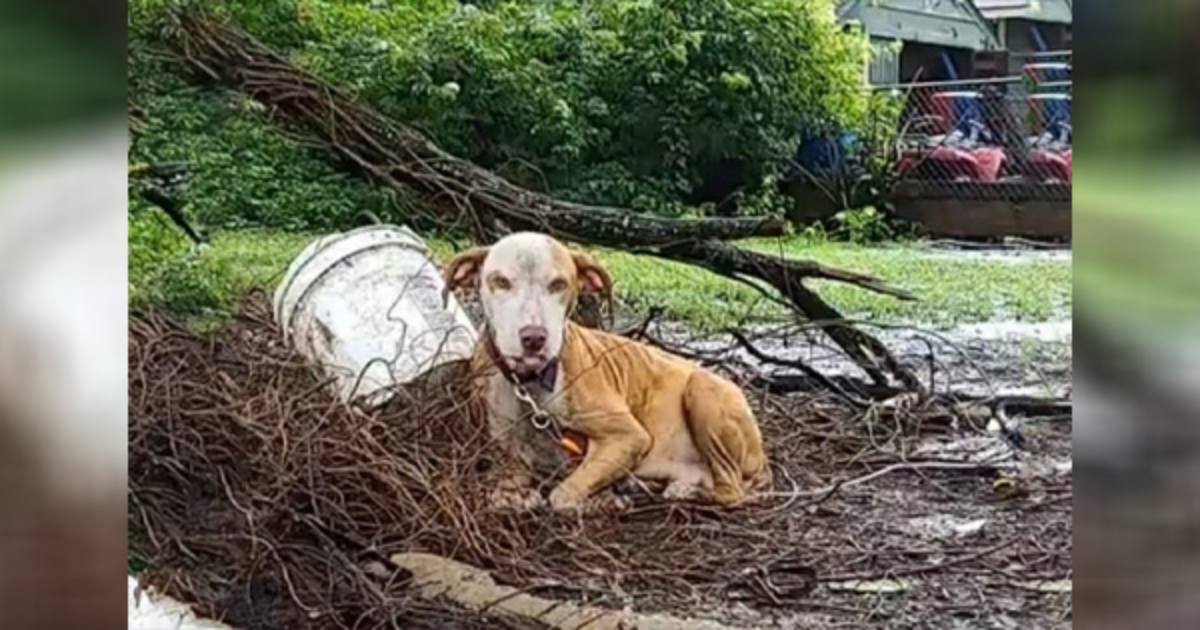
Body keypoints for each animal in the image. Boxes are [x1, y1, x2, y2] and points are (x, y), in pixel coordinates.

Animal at [441, 230, 768, 511]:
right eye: (501, 281)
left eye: (559, 284)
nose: (534, 338)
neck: (531, 384)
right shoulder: (507, 448)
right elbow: (501, 491)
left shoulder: (628, 436)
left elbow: (562, 495)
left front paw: (599, 501)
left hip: (702, 389)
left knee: (731, 490)